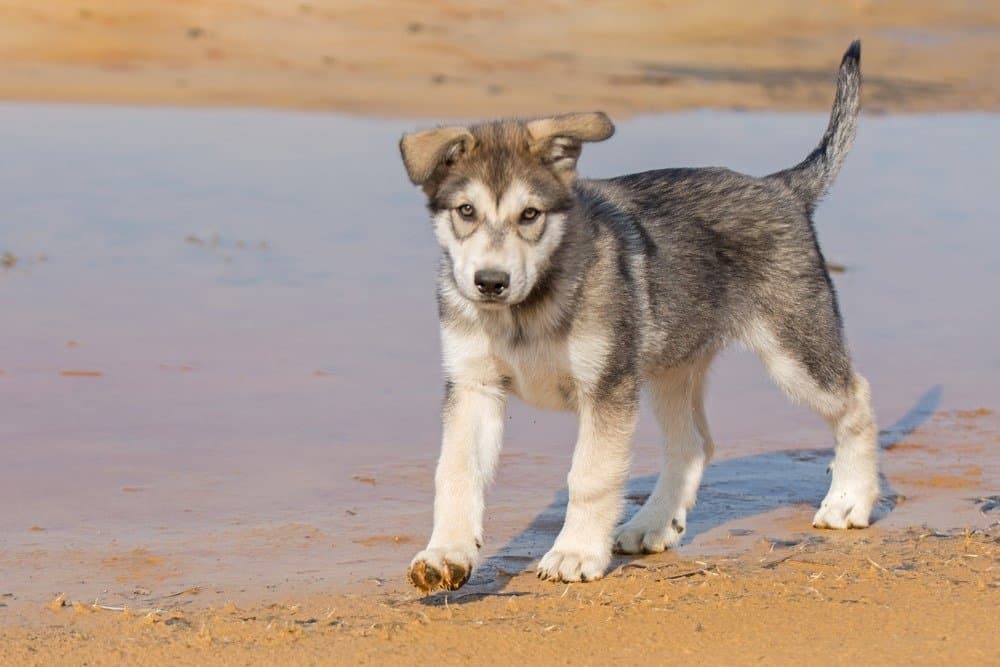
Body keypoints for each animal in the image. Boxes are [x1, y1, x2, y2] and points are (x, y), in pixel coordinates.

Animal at [398, 41, 876, 596]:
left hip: (794, 350)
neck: (526, 311)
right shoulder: (473, 386)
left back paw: (849, 500)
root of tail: (781, 187)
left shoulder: (606, 389)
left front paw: (576, 552)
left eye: (530, 215)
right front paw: (446, 554)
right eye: (466, 211)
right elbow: (455, 472)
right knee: (693, 445)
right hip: (671, 368)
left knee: (856, 399)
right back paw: (652, 524)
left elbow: (590, 477)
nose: (490, 283)